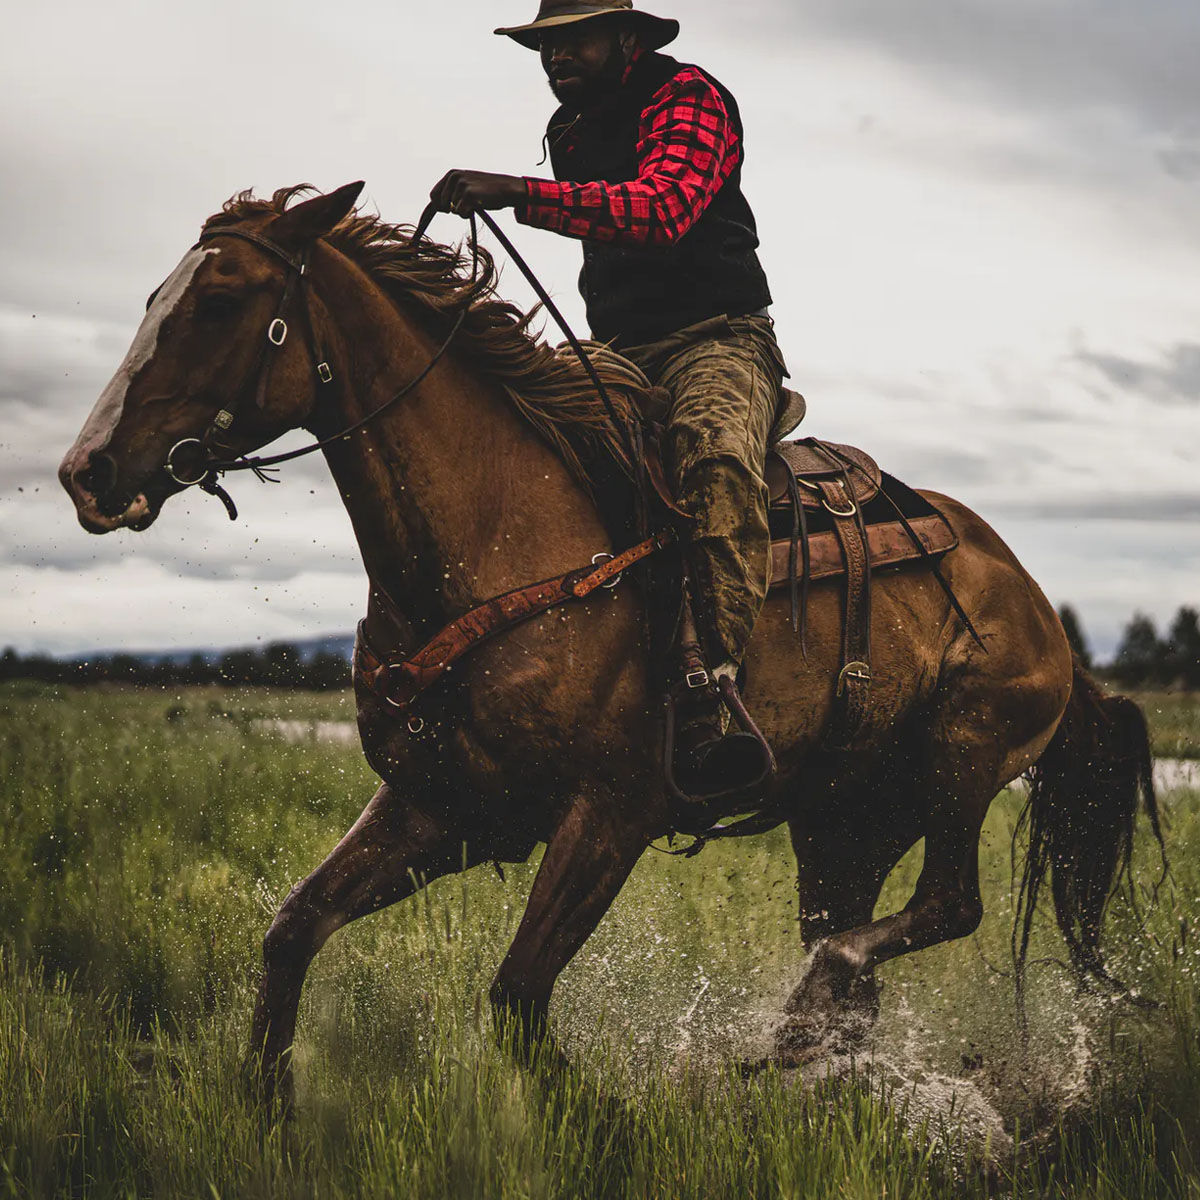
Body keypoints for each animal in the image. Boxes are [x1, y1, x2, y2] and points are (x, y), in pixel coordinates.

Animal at [58, 182, 1161, 1099]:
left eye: (218, 302)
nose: (86, 471)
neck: (501, 536)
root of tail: (1029, 599)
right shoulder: (443, 807)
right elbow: (293, 932)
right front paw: (269, 1118)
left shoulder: (609, 817)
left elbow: (515, 1002)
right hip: (843, 820)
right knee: (853, 965)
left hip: (958, 766)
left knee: (938, 911)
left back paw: (793, 1029)